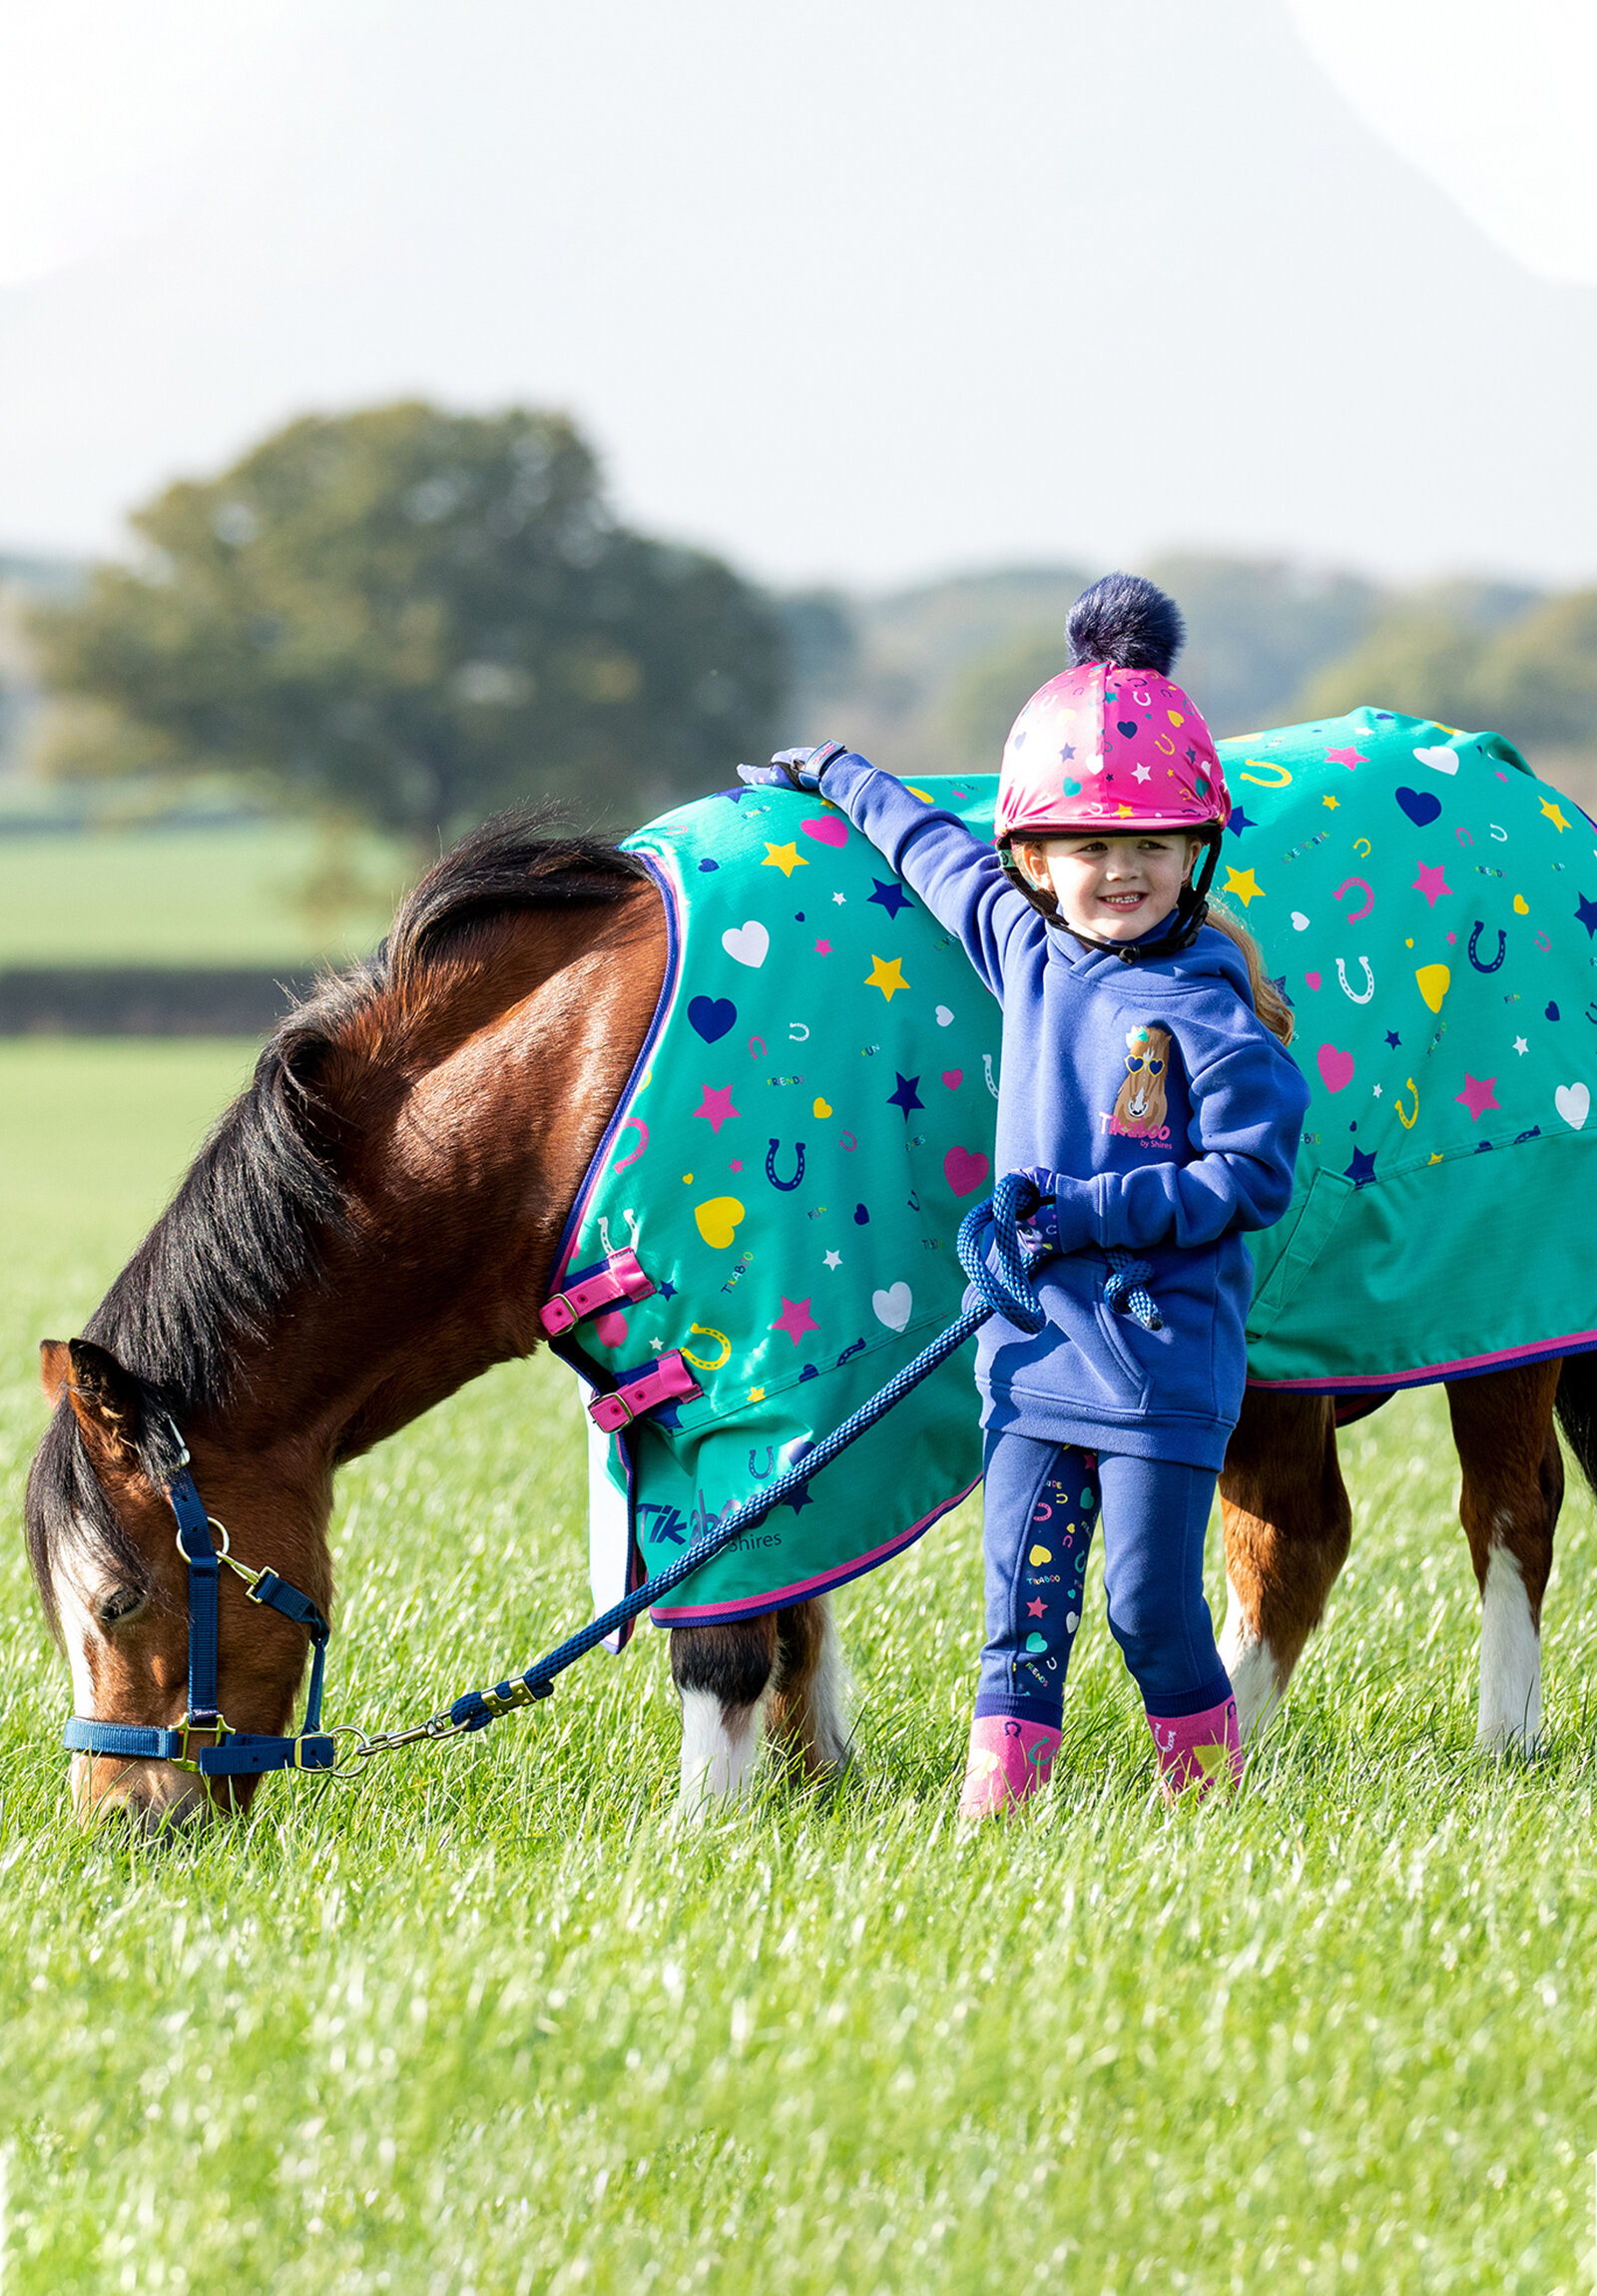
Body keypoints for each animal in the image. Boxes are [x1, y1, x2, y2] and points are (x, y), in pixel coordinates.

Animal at [25, 808, 1597, 1827]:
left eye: (117, 1599)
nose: (122, 1816)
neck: (569, 1082)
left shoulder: (760, 1368)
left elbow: (723, 1621)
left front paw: (706, 1822)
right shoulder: (729, 1397)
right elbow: (786, 1589)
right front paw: (806, 1770)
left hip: (1502, 1316)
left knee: (1509, 1511)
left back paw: (1503, 1734)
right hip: (1272, 1349)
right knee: (1294, 1540)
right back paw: (1236, 1748)